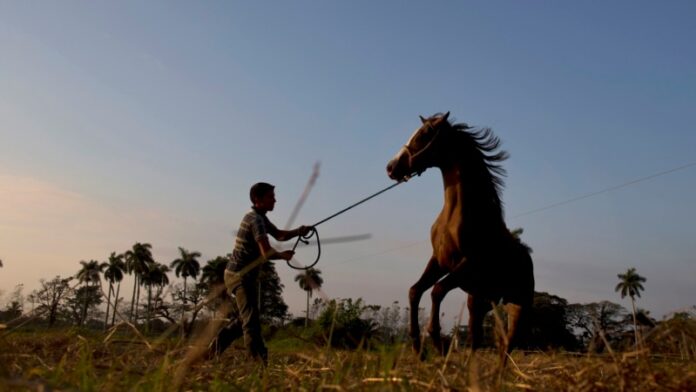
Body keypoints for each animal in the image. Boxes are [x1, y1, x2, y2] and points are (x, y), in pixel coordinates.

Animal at [384, 111, 536, 358]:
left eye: (424, 134)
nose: (391, 167)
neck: (455, 216)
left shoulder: (466, 266)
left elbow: (437, 291)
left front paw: (437, 341)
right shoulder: (439, 261)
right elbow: (415, 291)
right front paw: (417, 345)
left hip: (517, 305)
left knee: (506, 345)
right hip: (479, 300)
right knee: (479, 338)